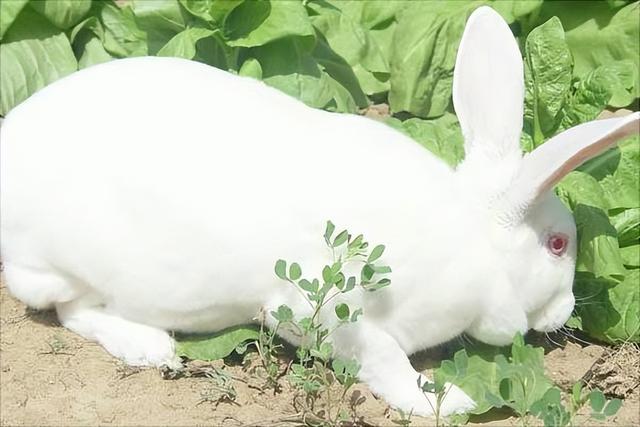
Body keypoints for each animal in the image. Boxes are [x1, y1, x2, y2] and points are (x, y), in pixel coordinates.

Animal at [1, 5, 640, 418]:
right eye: (557, 245)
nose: (563, 314)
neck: (473, 240)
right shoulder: (335, 314)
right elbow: (386, 364)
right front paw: (448, 401)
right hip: (70, 265)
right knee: (69, 310)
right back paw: (152, 349)